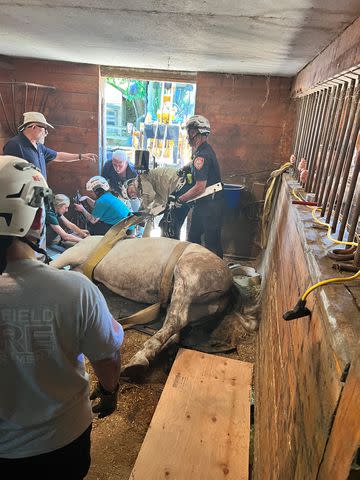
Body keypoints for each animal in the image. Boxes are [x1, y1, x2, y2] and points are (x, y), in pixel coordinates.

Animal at [50, 238, 258, 376]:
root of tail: (230, 285)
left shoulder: (68, 257)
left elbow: (50, 264)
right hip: (198, 307)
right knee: (176, 330)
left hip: (187, 275)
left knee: (176, 320)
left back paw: (138, 360)